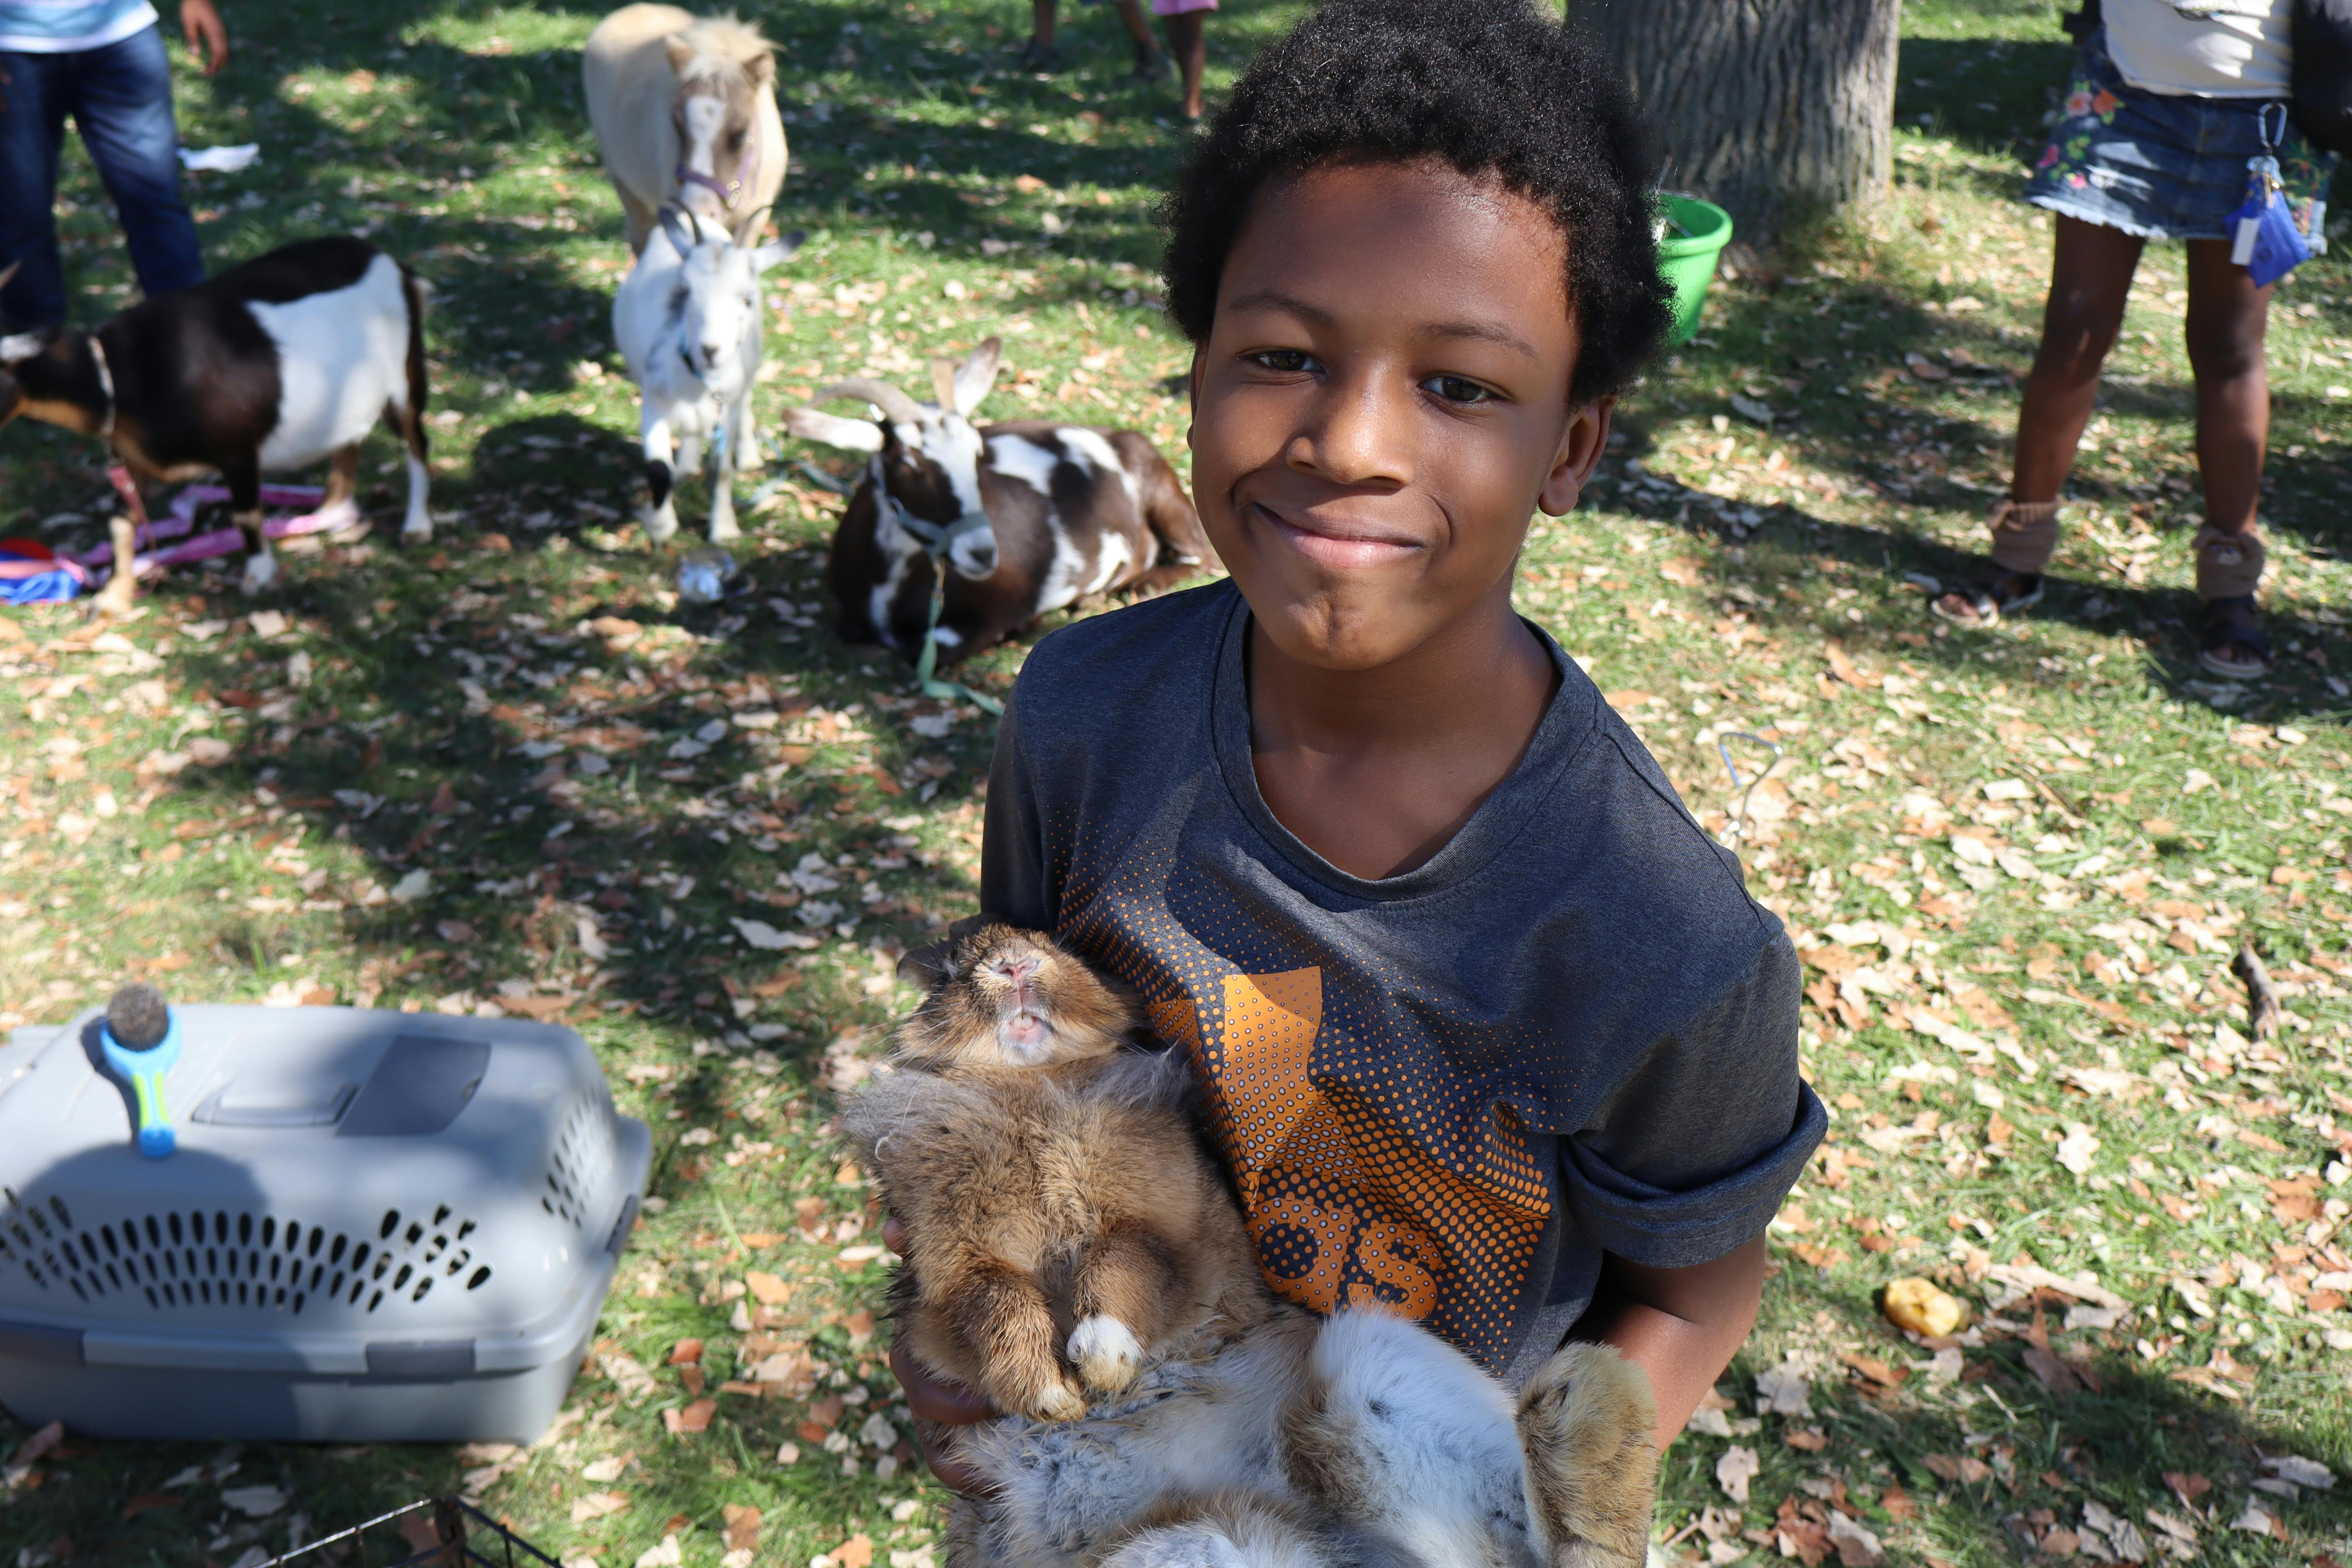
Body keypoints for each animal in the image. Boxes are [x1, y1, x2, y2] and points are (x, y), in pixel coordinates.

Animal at [0, 236, 433, 611]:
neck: (118, 376)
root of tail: (395, 266)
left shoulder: (237, 447)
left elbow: (246, 515)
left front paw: (259, 577)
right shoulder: (133, 458)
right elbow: (123, 523)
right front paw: (113, 600)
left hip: (405, 374)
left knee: (417, 441)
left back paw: (416, 527)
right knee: (350, 439)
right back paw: (331, 513)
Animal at [612, 205, 804, 545]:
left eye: (747, 299)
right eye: (685, 292)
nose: (711, 350)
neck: (700, 385)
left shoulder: (727, 410)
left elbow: (724, 471)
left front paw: (724, 529)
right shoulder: (654, 403)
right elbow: (659, 470)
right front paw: (661, 527)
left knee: (747, 402)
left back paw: (749, 455)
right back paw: (688, 464)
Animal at [786, 341, 1223, 668]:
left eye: (978, 453)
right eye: (906, 464)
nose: (982, 553)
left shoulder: (999, 608)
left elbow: (924, 651)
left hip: (1163, 490)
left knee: (1202, 556)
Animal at [847, 926, 1279, 1429]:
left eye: (1063, 948)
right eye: (949, 970)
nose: (1014, 966)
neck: (1028, 1077)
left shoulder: (1163, 1224)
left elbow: (1124, 1259)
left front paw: (1101, 1356)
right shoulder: (956, 1267)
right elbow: (998, 1301)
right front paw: (1052, 1394)